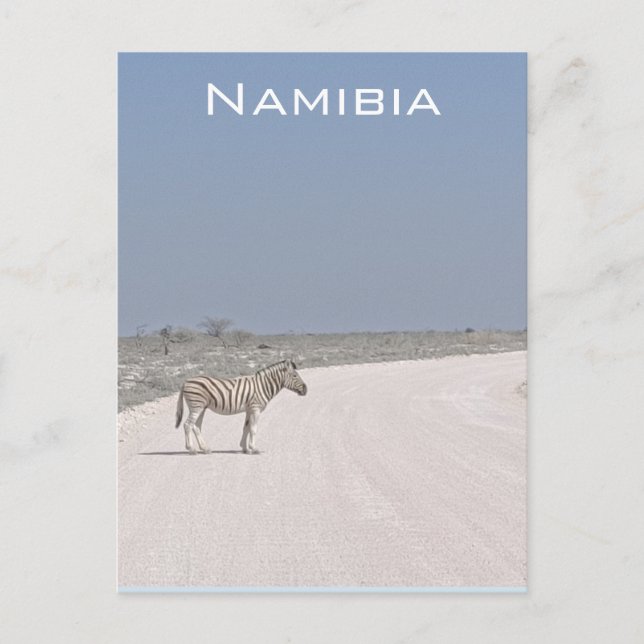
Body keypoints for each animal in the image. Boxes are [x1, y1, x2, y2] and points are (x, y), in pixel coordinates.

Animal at [174, 359, 308, 454]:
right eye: (295, 376)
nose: (306, 390)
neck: (263, 386)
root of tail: (186, 381)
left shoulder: (249, 409)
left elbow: (246, 428)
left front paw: (245, 449)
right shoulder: (255, 409)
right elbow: (253, 429)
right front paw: (254, 448)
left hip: (201, 407)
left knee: (196, 427)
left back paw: (205, 449)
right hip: (196, 406)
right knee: (187, 425)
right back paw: (191, 449)